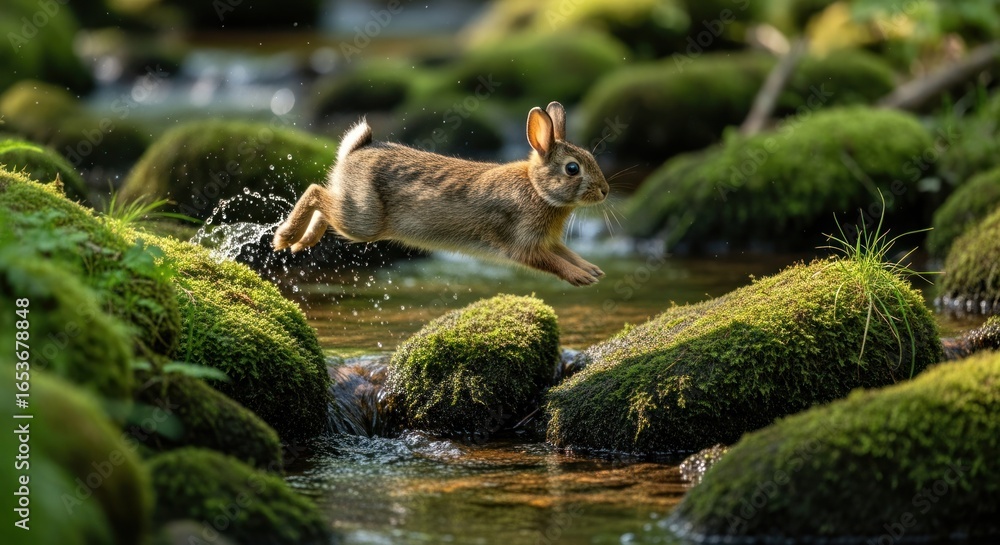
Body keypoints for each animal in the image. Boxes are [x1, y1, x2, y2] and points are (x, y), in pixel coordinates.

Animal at [272, 101, 609, 286]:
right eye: (572, 169)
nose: (605, 191)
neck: (538, 189)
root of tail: (356, 151)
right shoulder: (523, 243)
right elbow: (551, 262)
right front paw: (581, 278)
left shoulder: (548, 241)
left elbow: (567, 254)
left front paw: (593, 271)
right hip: (364, 220)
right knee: (316, 192)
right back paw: (284, 237)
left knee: (324, 201)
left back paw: (303, 242)